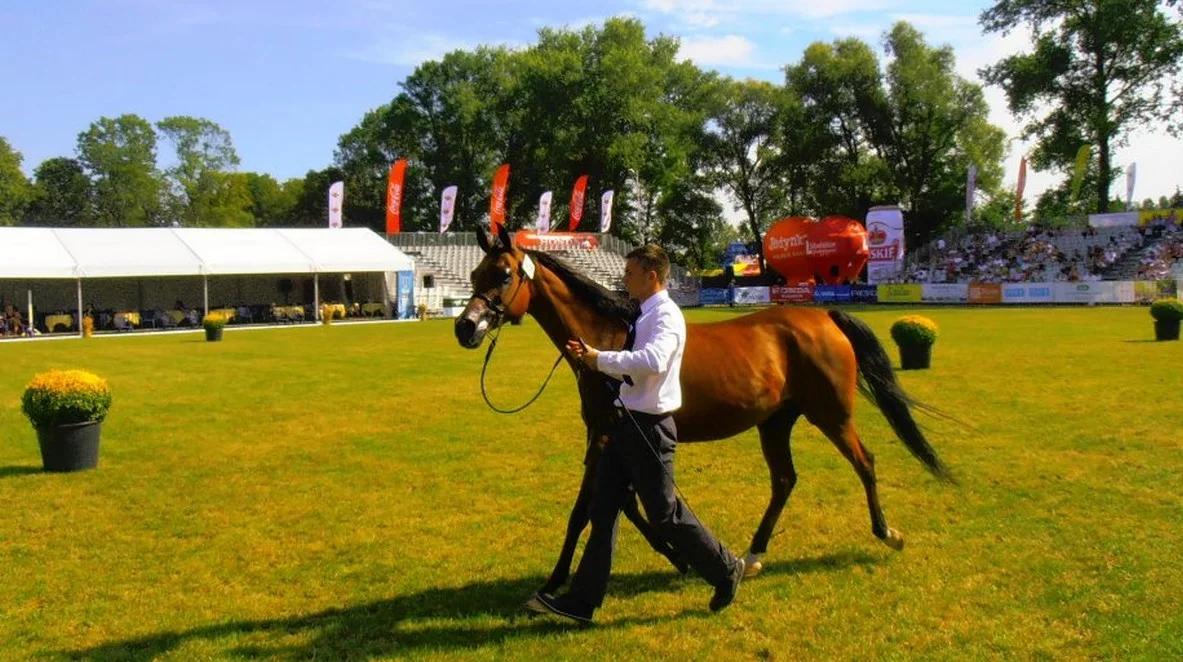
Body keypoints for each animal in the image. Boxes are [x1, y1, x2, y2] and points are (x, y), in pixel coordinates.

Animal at [451, 225, 951, 595]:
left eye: (502, 275)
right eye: (474, 272)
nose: (465, 328)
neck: (611, 340)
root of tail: (822, 317)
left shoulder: (607, 437)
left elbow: (587, 509)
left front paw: (554, 581)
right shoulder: (613, 438)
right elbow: (627, 504)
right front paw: (677, 555)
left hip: (832, 414)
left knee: (864, 462)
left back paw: (887, 533)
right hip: (776, 422)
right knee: (784, 481)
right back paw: (752, 557)